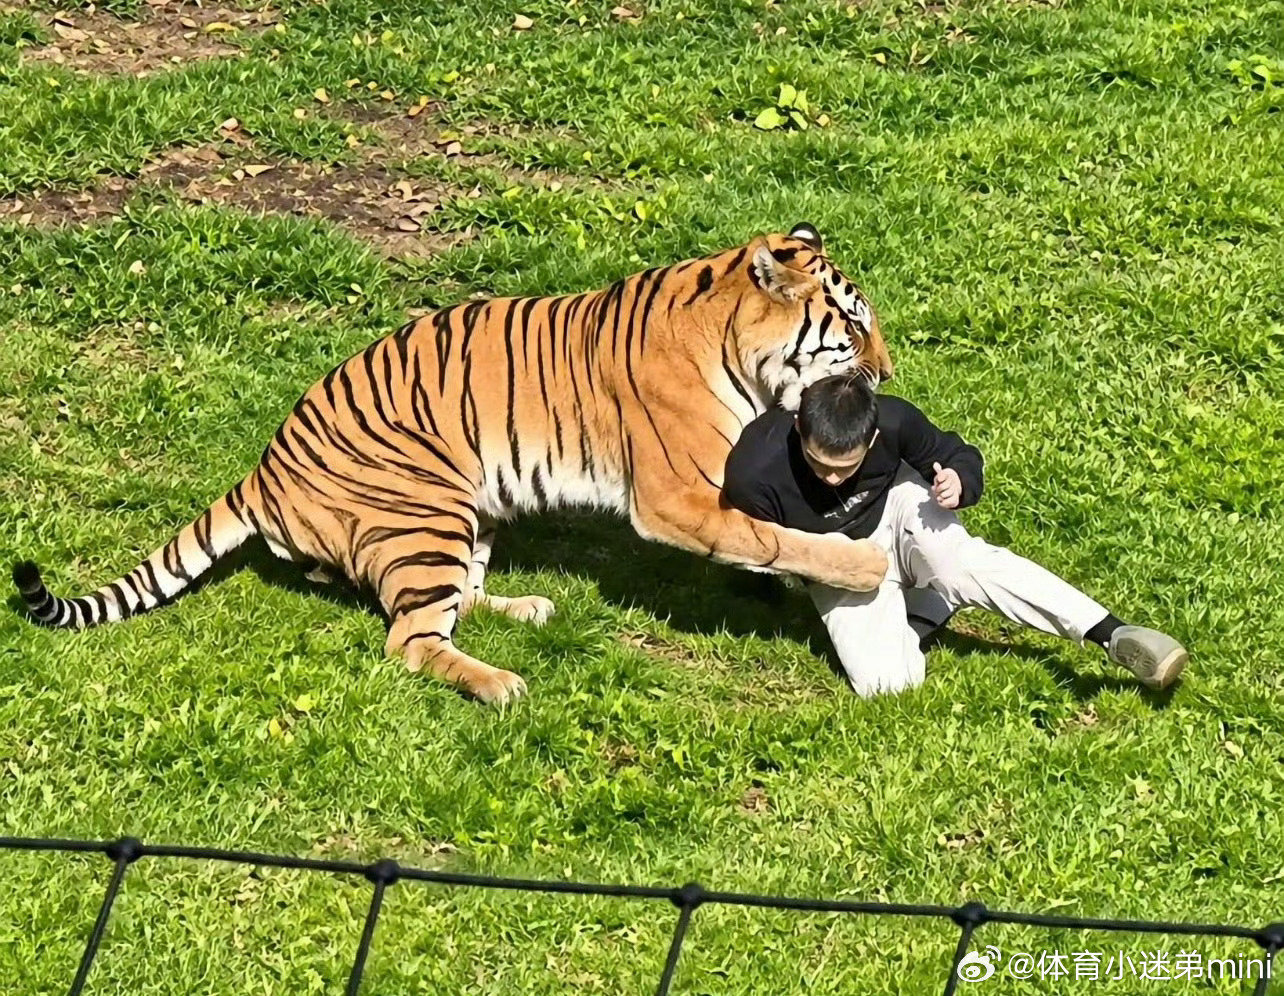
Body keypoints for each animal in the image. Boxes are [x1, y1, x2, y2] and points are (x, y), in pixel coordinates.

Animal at [13, 223, 895, 704]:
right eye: (852, 329)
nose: (887, 376)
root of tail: (261, 470)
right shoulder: (677, 497)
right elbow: (774, 537)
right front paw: (860, 568)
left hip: (470, 512)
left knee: (450, 601)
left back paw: (528, 608)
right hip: (427, 507)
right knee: (408, 640)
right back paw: (500, 684)